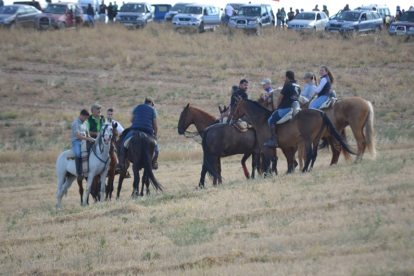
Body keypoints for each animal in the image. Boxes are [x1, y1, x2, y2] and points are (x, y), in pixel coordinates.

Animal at [226, 98, 356, 174]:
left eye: (234, 106)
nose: (229, 120)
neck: (262, 119)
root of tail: (320, 112)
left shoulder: (265, 147)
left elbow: (267, 162)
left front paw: (267, 175)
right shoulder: (272, 147)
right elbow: (274, 160)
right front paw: (274, 174)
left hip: (308, 140)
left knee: (309, 154)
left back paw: (304, 170)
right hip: (316, 139)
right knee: (314, 155)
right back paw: (310, 169)